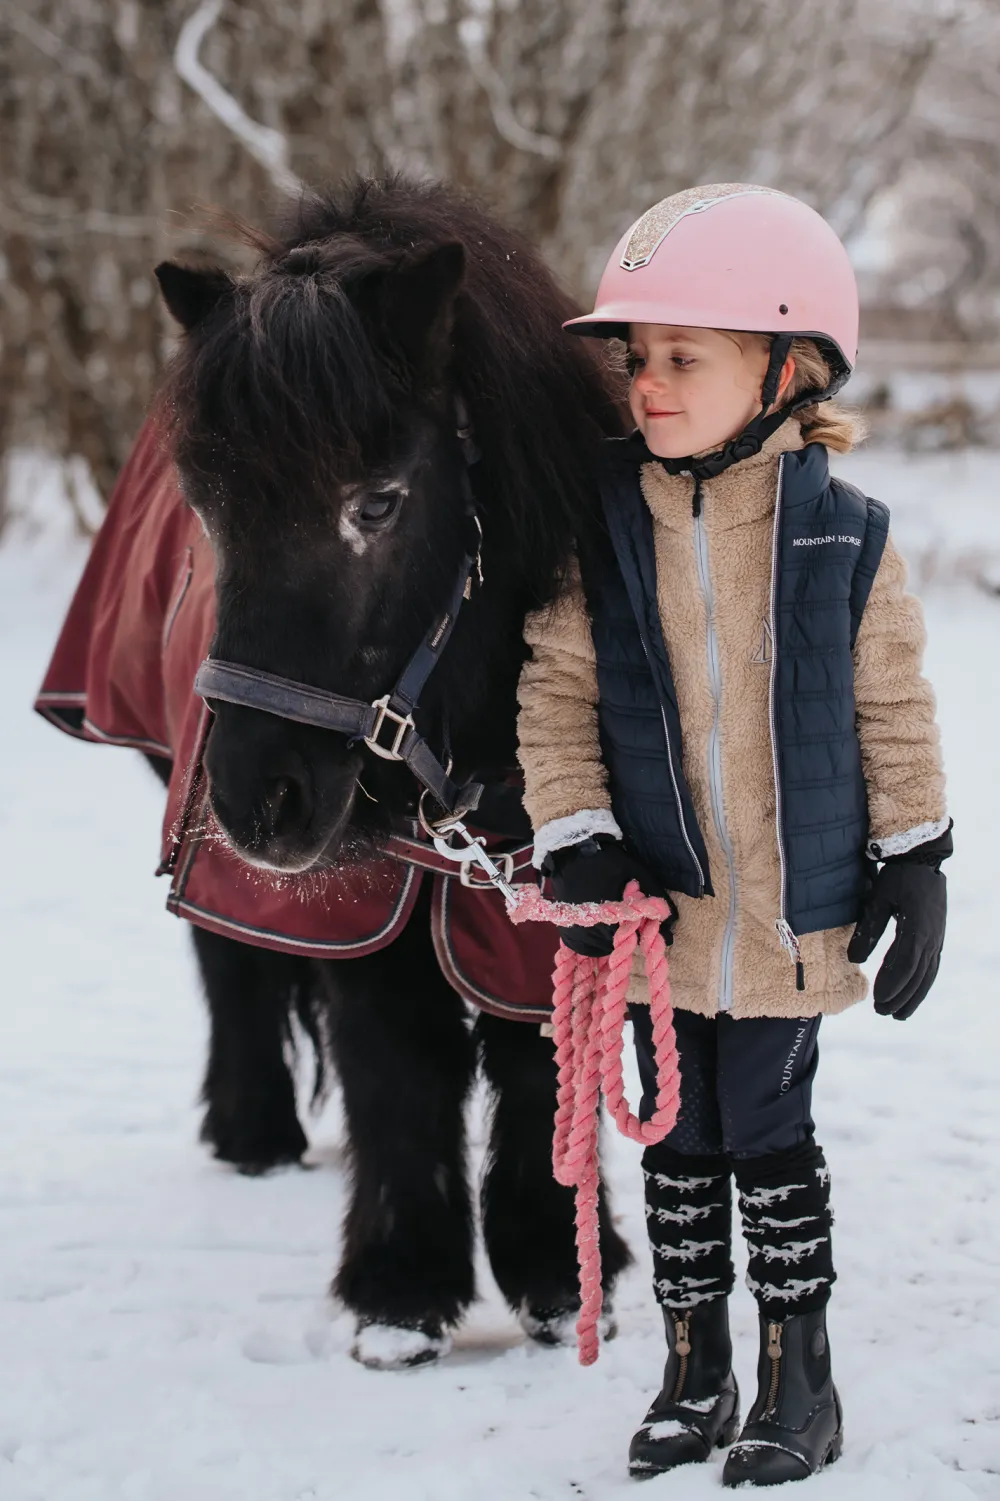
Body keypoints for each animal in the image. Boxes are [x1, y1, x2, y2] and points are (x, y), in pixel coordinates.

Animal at [137, 174, 631, 1368]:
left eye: (378, 501)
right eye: (205, 507)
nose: (261, 801)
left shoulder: (548, 887)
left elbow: (537, 1052)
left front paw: (559, 1274)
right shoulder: (365, 895)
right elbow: (395, 1065)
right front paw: (401, 1293)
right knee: (228, 959)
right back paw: (252, 1129)